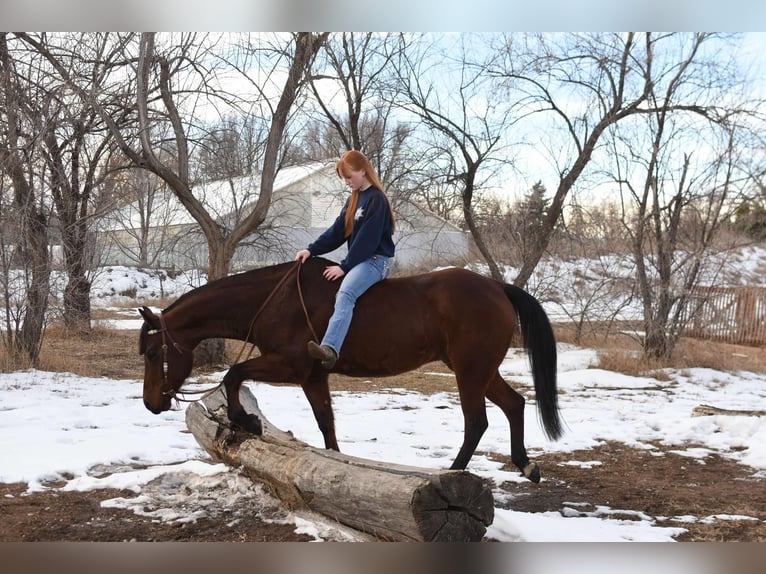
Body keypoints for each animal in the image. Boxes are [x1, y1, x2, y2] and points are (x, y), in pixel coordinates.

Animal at [138, 257, 563, 482]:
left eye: (153, 351)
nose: (151, 403)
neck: (275, 300)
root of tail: (497, 287)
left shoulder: (290, 366)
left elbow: (233, 374)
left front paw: (248, 421)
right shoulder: (313, 378)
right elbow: (326, 424)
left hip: (470, 371)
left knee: (477, 422)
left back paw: (451, 474)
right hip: (480, 370)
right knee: (514, 404)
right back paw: (526, 465)